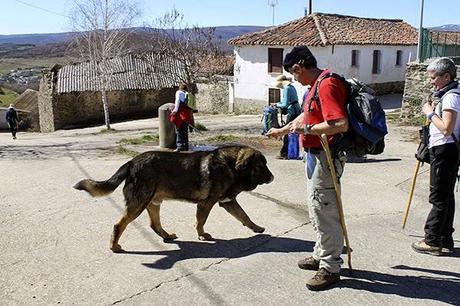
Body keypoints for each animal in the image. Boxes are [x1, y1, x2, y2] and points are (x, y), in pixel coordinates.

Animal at [73, 145, 272, 252]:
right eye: (261, 166)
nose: (272, 177)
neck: (230, 165)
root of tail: (131, 163)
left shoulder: (228, 202)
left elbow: (245, 216)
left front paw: (256, 228)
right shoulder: (206, 204)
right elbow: (200, 221)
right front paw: (202, 235)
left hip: (153, 203)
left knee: (154, 224)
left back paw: (166, 235)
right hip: (138, 204)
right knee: (119, 225)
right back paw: (114, 246)